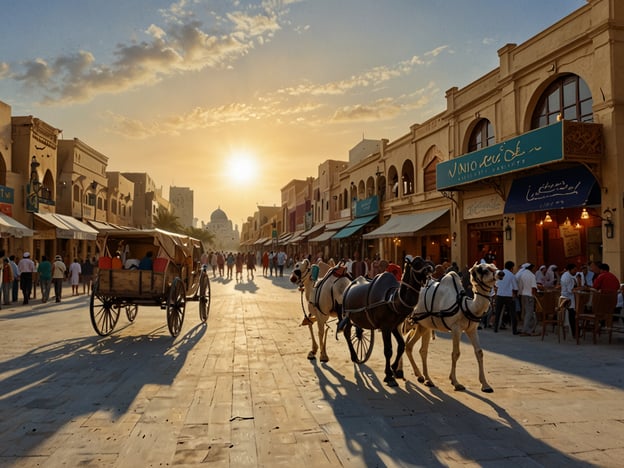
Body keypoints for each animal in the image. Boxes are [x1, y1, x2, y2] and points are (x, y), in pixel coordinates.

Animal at [342, 256, 434, 388]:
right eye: (417, 263)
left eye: (426, 261)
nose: (430, 268)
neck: (393, 300)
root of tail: (349, 287)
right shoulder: (385, 327)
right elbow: (388, 350)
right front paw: (388, 375)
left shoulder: (394, 326)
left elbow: (401, 345)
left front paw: (393, 368)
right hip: (348, 316)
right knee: (347, 332)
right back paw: (354, 356)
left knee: (356, 331)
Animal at [400, 264, 502, 392]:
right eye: (483, 270)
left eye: (494, 266)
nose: (501, 273)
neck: (465, 306)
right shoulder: (456, 328)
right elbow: (456, 353)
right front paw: (456, 382)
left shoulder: (471, 329)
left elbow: (479, 352)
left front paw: (485, 385)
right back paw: (400, 373)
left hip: (423, 325)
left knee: (415, 347)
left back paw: (424, 378)